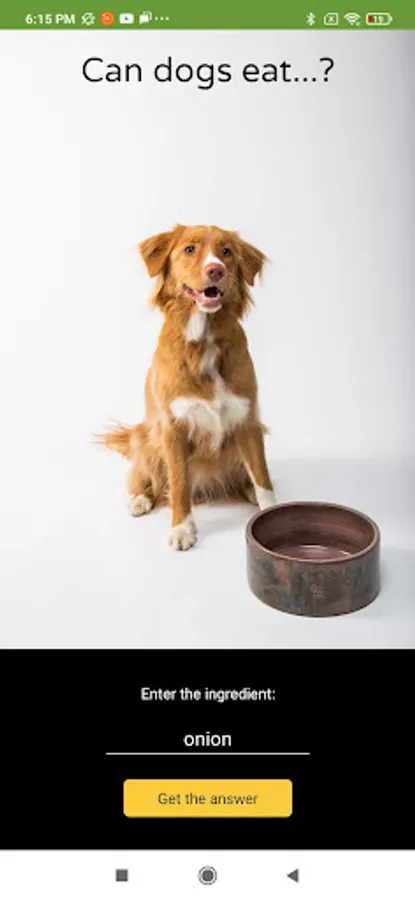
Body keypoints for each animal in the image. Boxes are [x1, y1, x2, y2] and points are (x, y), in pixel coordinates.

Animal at [100, 224, 276, 550]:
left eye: (226, 251)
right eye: (190, 249)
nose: (216, 270)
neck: (204, 339)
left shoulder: (248, 420)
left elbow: (262, 476)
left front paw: (271, 509)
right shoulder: (173, 429)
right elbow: (179, 484)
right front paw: (182, 528)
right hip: (145, 436)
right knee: (146, 477)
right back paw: (139, 499)